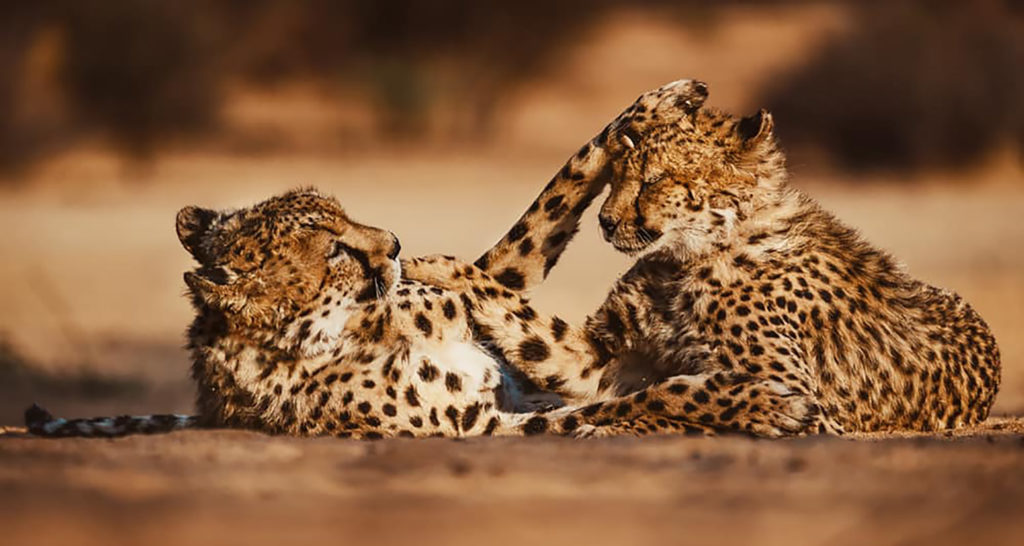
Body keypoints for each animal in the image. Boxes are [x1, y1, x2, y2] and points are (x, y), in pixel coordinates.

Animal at [419, 78, 1003, 436]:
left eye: (654, 180)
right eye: (620, 173)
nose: (606, 221)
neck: (697, 251)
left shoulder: (812, 405)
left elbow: (677, 399)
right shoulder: (604, 360)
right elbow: (527, 324)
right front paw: (441, 270)